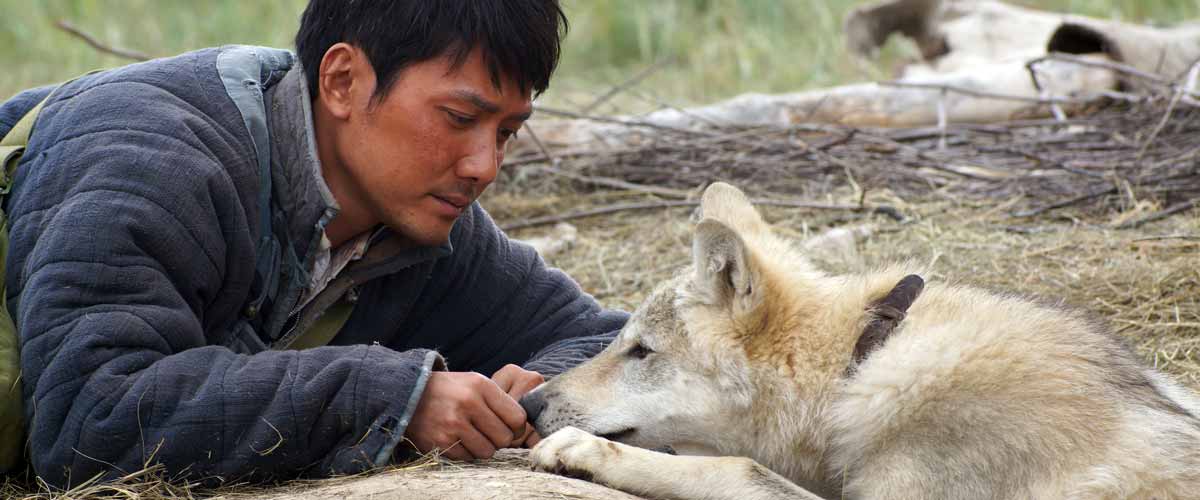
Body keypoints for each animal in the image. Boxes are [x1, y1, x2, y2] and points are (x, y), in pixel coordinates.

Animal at [523, 183, 1200, 498]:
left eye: (641, 351)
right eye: (623, 341)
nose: (528, 403)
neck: (860, 362)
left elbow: (736, 467)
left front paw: (583, 450)